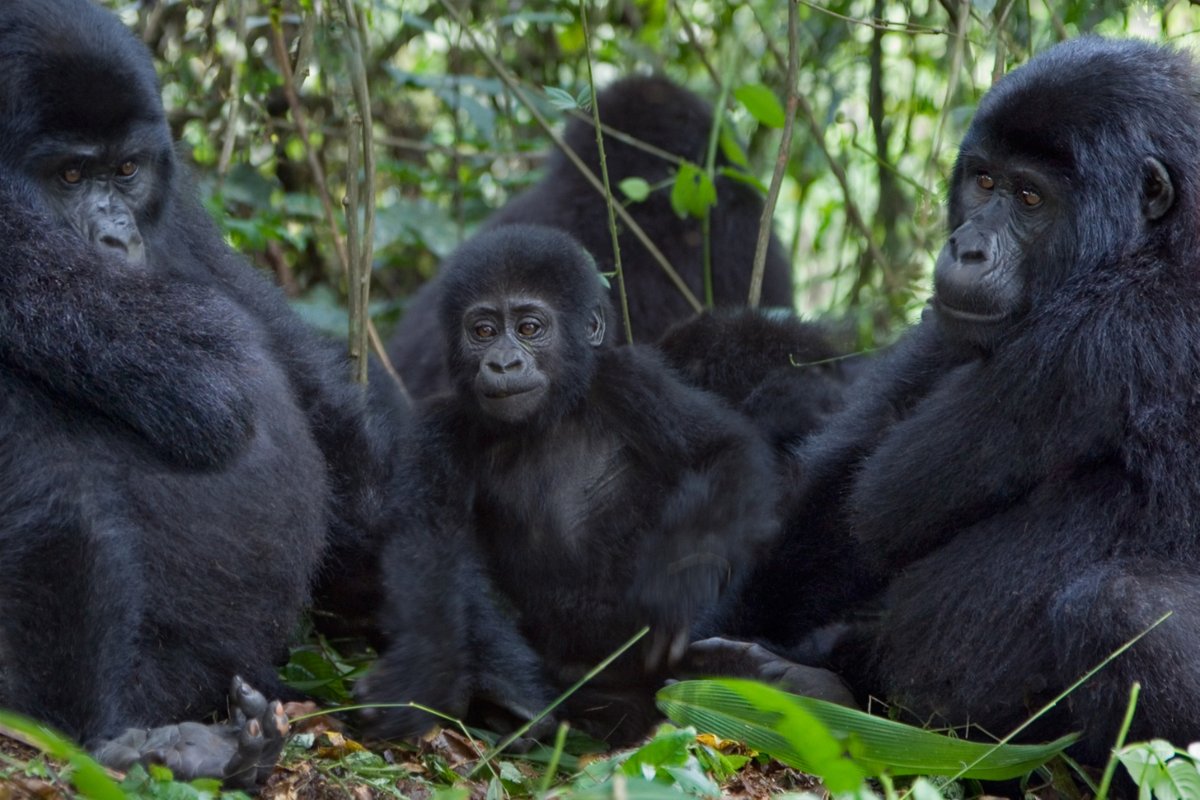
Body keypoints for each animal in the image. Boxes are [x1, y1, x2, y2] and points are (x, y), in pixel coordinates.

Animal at [0, 0, 396, 786]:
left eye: (125, 170)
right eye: (67, 175)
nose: (115, 240)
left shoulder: (177, 208)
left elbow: (300, 375)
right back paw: (112, 742)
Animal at [355, 225, 777, 743]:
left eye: (529, 329)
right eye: (483, 331)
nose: (503, 364)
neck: (549, 418)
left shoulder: (632, 380)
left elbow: (723, 450)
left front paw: (680, 580)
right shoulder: (438, 429)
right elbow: (428, 547)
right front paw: (419, 678)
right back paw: (511, 701)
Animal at [700, 37, 1200, 762]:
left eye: (1030, 197)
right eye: (984, 182)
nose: (966, 248)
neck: (1160, 239)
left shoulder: (1110, 332)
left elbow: (884, 502)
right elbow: (840, 485)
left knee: (1122, 610)